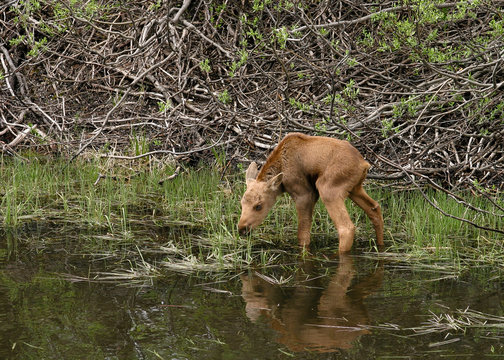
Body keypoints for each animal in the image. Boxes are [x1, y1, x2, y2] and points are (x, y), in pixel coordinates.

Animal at [238, 133, 384, 253]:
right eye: (241, 203)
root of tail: (364, 164)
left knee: (346, 227)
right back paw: (380, 245)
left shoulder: (305, 194)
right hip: (355, 188)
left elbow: (303, 234)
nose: (241, 229)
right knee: (374, 208)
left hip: (328, 188)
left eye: (258, 206)